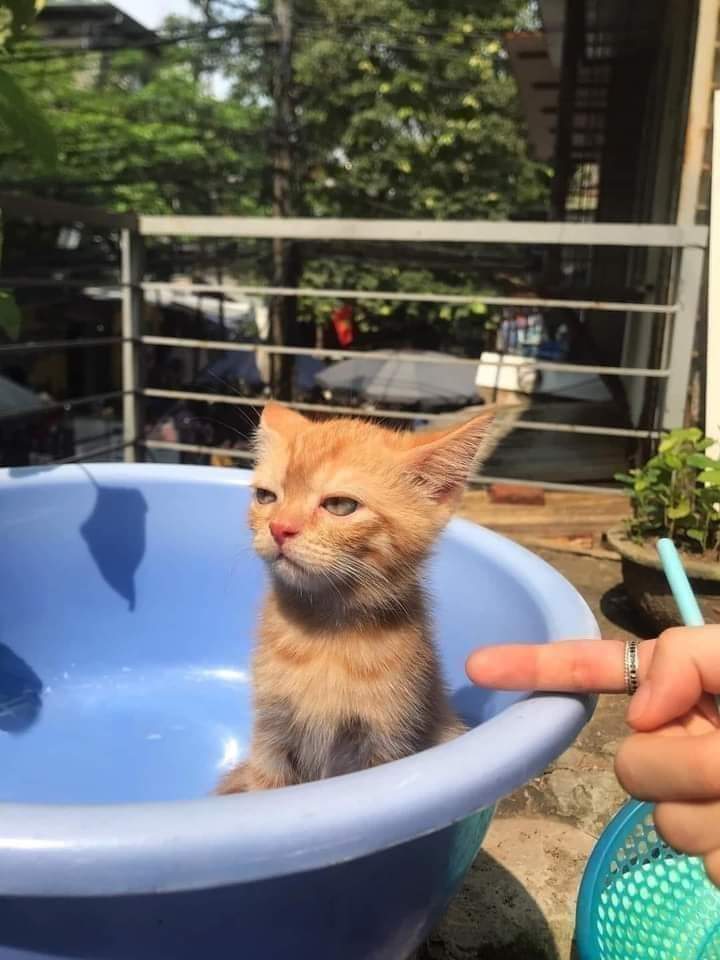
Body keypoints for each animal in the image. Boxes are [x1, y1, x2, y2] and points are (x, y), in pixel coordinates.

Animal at [215, 402, 496, 792]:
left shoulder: (386, 742)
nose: (279, 528)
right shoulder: (270, 738)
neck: (323, 637)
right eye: (266, 496)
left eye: (340, 505)